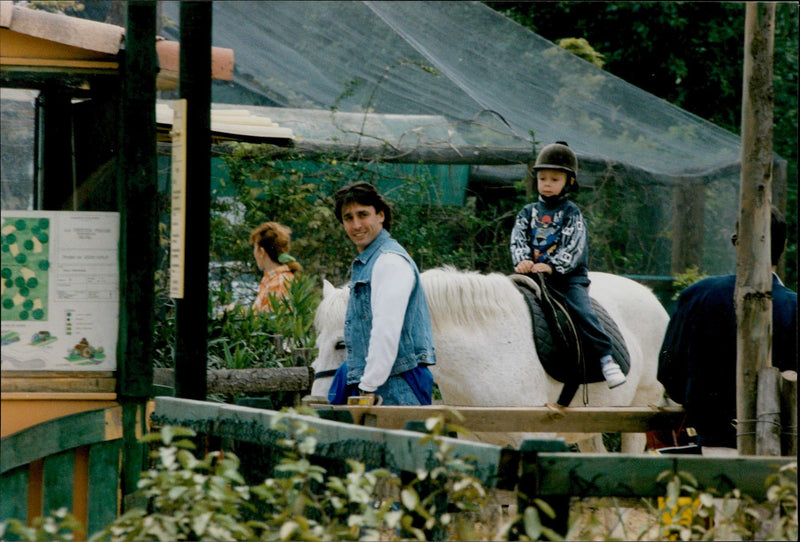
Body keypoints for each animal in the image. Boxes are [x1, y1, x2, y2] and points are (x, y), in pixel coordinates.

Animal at [310, 268, 672, 454]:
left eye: (343, 343)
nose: (318, 402)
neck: (484, 355)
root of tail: (654, 300)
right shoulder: (474, 440)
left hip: (637, 416)